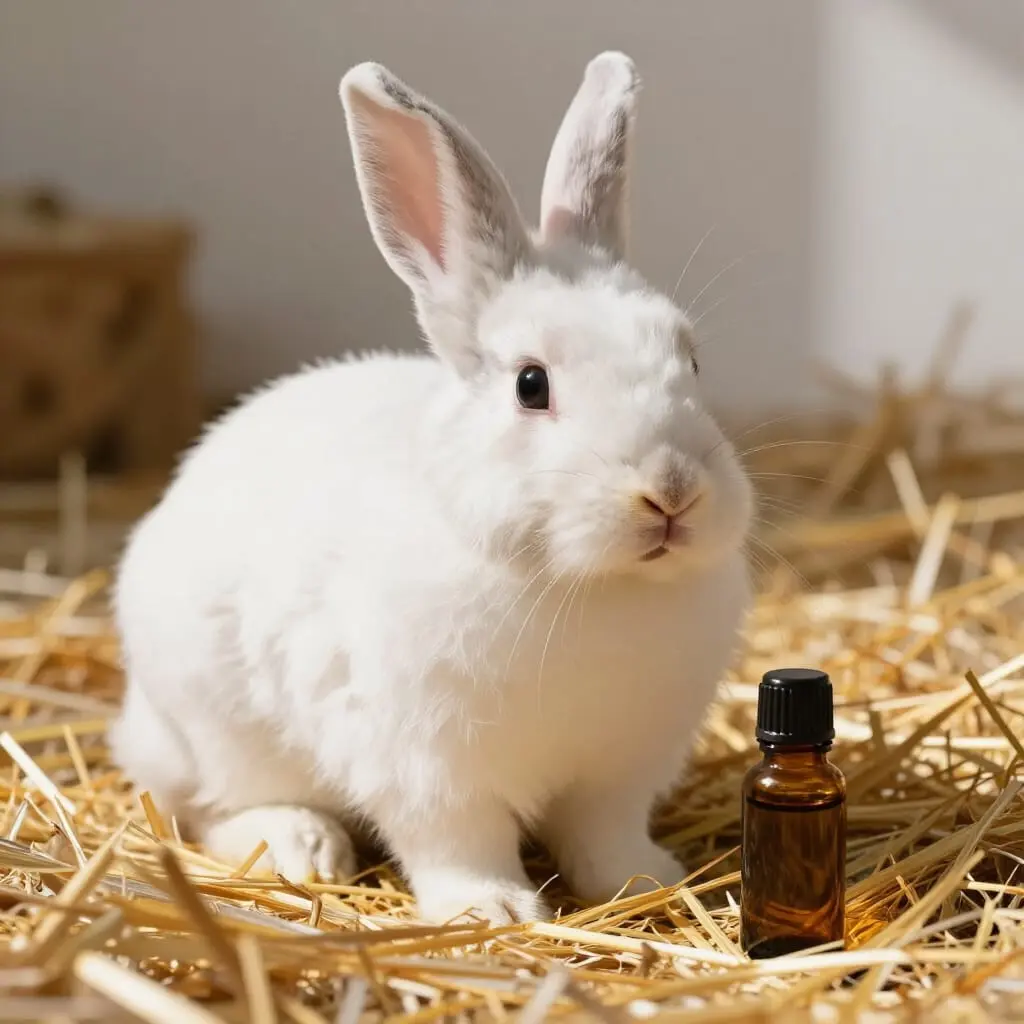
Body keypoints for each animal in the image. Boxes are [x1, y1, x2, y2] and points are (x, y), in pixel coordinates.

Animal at [109, 51, 754, 926]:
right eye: (530, 385)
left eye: (691, 361)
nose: (671, 491)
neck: (587, 588)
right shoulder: (427, 767)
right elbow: (460, 843)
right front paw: (494, 913)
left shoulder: (618, 771)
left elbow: (603, 836)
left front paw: (649, 882)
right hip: (215, 727)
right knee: (211, 807)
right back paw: (302, 846)